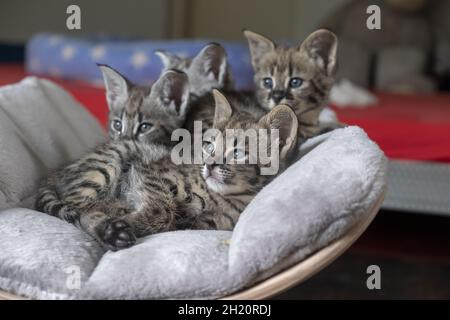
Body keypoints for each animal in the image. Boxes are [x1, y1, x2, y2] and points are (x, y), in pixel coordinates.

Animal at [36, 89, 298, 250]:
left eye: (237, 153)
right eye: (209, 146)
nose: (209, 165)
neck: (223, 198)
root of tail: (54, 175)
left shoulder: (201, 226)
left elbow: (171, 220)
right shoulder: (150, 172)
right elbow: (162, 209)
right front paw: (127, 218)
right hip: (112, 159)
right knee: (80, 207)